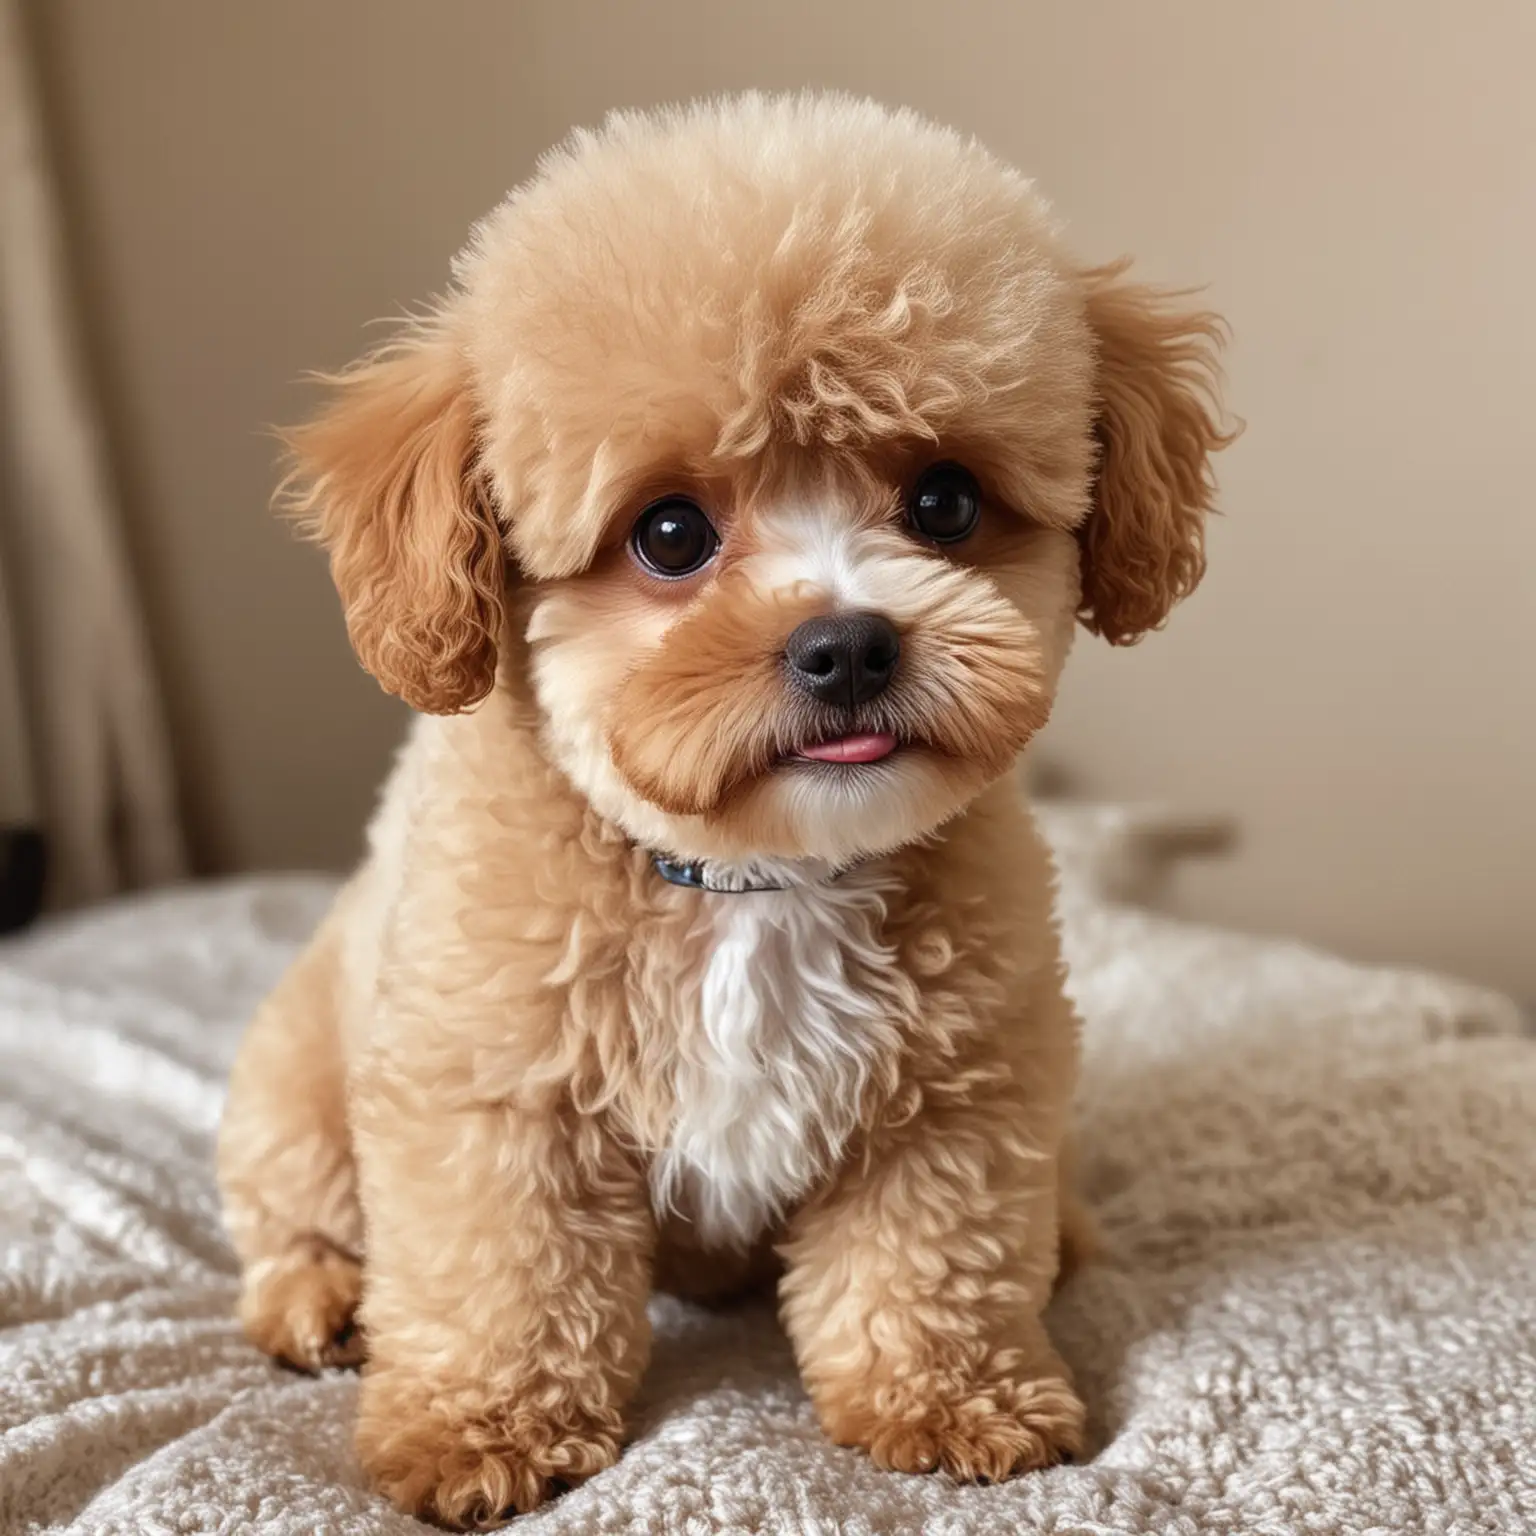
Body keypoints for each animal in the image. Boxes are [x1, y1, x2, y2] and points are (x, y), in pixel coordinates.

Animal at [216, 92, 1228, 1523]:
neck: (756, 880)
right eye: (670, 534)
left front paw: (955, 1402)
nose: (847, 645)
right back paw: (323, 1298)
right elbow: (503, 1278)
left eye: (945, 500)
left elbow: (930, 1267)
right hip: (297, 1080)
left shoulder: (957, 1095)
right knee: (293, 1208)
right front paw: (479, 1430)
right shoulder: (496, 1100)